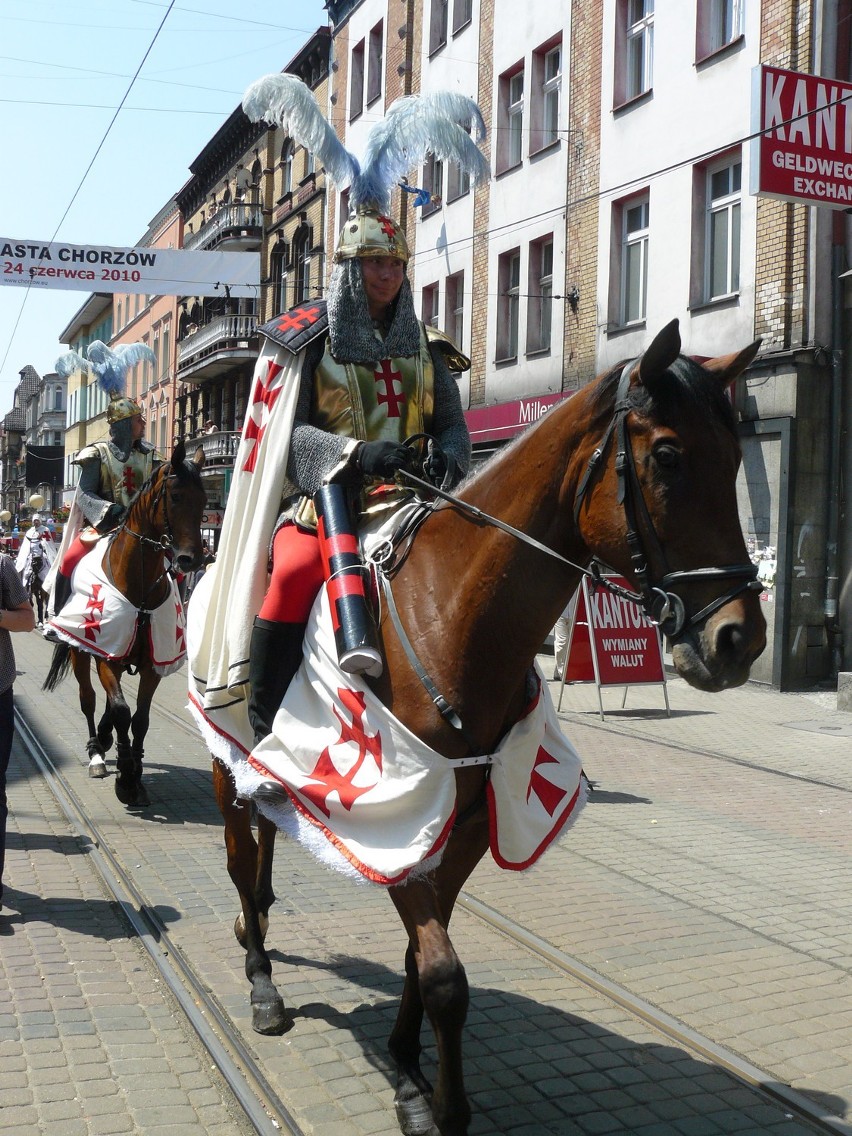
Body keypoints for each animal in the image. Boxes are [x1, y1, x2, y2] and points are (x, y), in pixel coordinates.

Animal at [45, 443, 206, 808]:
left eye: (205, 500)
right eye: (176, 496)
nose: (192, 559)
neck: (139, 585)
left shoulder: (151, 664)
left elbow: (140, 718)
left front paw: (136, 770)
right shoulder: (105, 654)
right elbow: (120, 710)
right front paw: (126, 777)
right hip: (80, 652)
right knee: (89, 699)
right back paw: (97, 753)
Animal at [212, 322, 767, 1136]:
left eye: (734, 456)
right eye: (667, 455)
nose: (739, 640)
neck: (451, 614)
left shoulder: (468, 820)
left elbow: (424, 953)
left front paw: (408, 1062)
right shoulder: (395, 824)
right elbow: (444, 973)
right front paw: (440, 1103)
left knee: (264, 849)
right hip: (226, 764)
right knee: (238, 862)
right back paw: (259, 980)